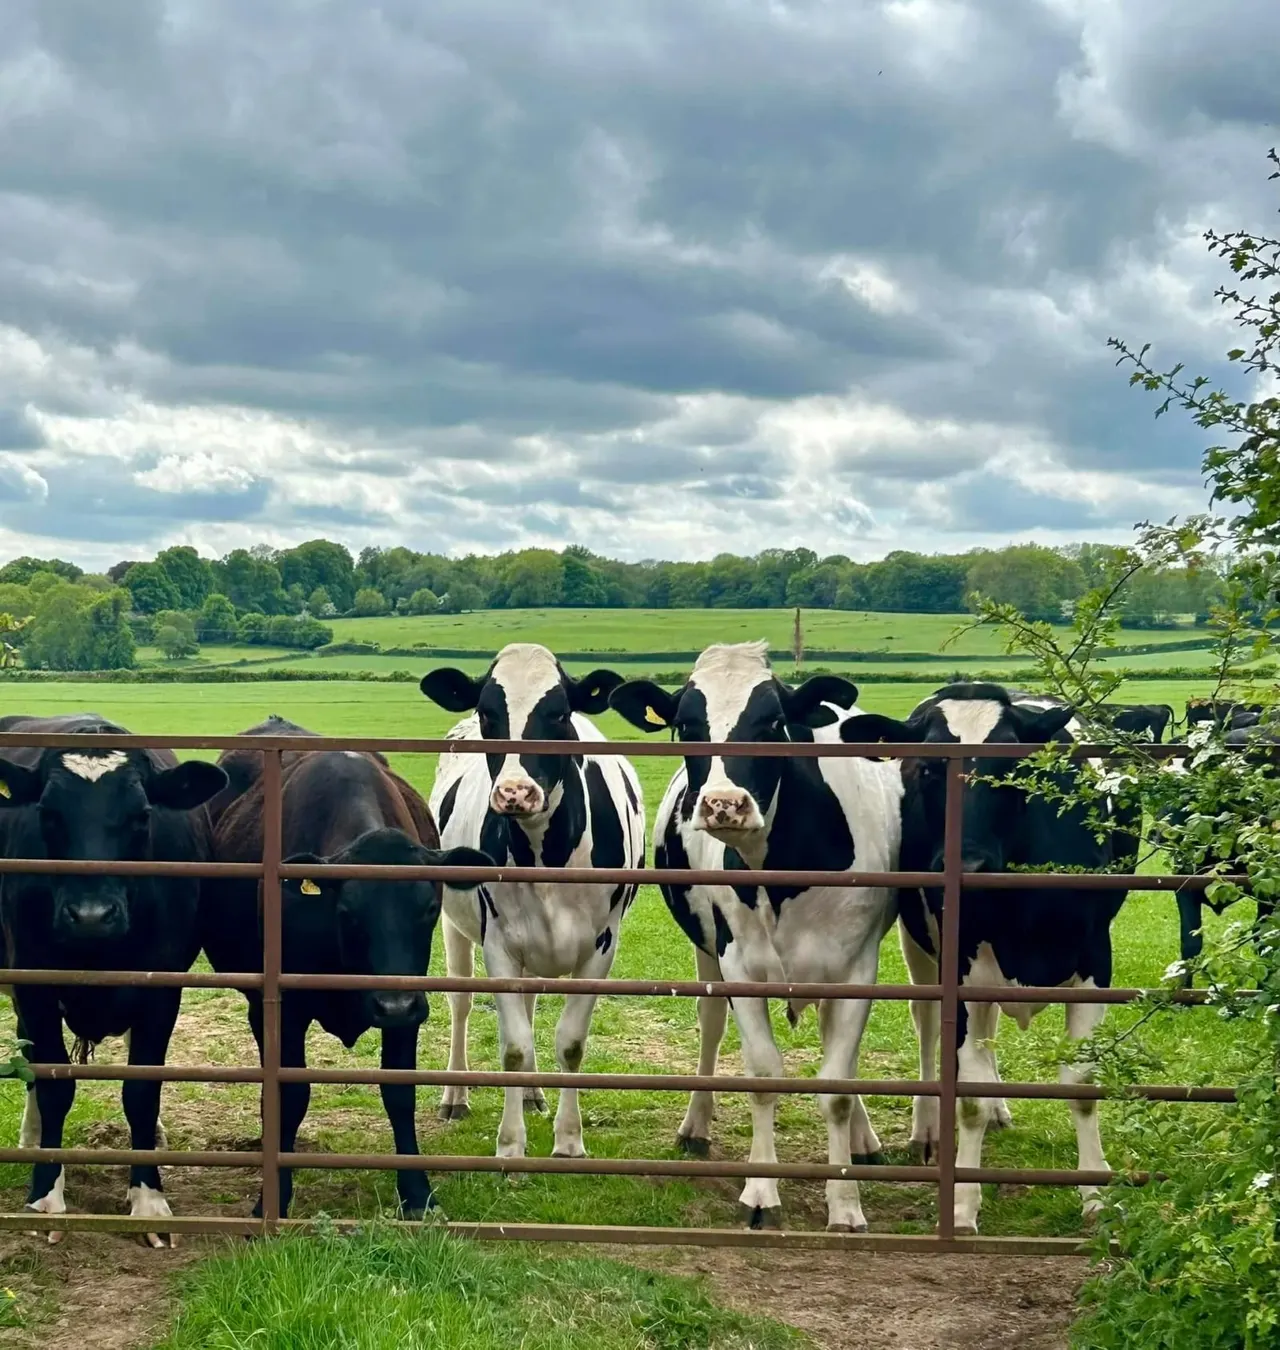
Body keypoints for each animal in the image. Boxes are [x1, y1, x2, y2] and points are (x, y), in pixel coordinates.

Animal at [0, 714, 227, 1247]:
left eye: (142, 815)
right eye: (48, 813)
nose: (90, 915)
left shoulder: (162, 991)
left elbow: (141, 1092)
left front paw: (148, 1200)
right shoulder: (33, 986)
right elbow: (53, 1086)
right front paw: (46, 1196)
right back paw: (32, 1137)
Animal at [204, 733, 491, 1218]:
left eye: (429, 908)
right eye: (348, 912)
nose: (391, 1005)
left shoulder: (409, 1008)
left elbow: (399, 1094)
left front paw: (417, 1193)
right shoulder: (284, 1011)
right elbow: (289, 1096)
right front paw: (273, 1197)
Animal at [420, 644, 644, 1162]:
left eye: (559, 712)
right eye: (488, 712)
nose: (515, 793)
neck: (546, 851)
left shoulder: (601, 948)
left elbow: (571, 1043)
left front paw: (569, 1141)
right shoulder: (498, 944)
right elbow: (514, 1045)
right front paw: (509, 1146)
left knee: (529, 1003)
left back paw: (532, 1093)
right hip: (455, 925)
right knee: (461, 1003)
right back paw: (456, 1096)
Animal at [608, 641, 903, 1232]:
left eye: (771, 721)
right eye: (687, 724)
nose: (724, 804)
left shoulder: (858, 967)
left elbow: (838, 1085)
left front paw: (845, 1203)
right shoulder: (739, 963)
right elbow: (763, 1074)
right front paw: (761, 1193)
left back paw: (864, 1140)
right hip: (706, 950)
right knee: (710, 1025)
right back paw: (696, 1126)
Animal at [838, 683, 1141, 1233]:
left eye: (1014, 764)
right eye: (928, 768)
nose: (970, 862)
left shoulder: (1095, 960)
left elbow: (1082, 1085)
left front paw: (1094, 1193)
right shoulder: (958, 962)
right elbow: (968, 1097)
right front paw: (961, 1205)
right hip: (920, 941)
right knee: (928, 1023)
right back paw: (927, 1130)